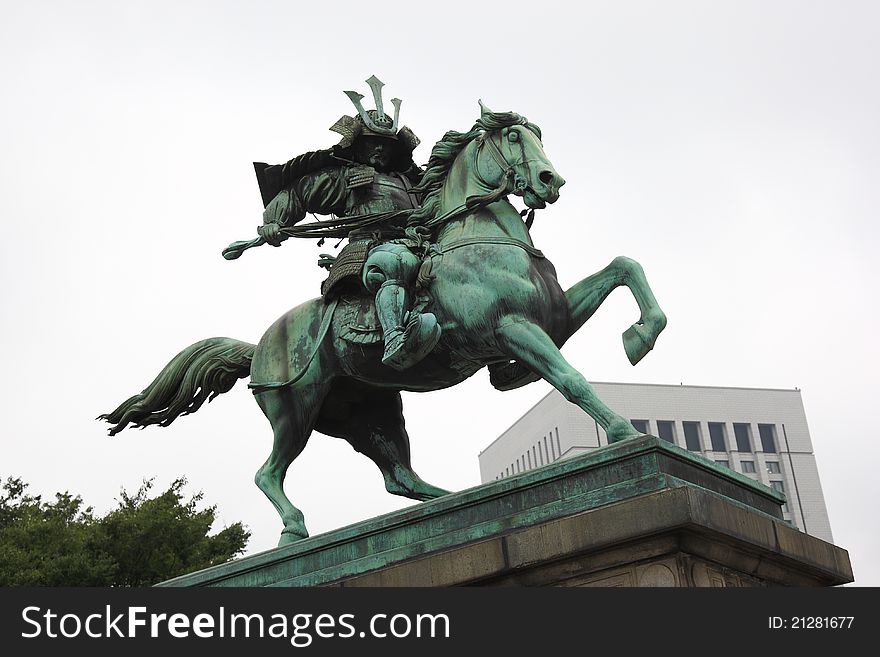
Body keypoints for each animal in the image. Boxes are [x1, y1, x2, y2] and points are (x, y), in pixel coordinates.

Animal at [101, 102, 668, 544]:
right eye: (512, 136)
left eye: (537, 135)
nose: (551, 181)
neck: (479, 237)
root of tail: (257, 346)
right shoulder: (512, 329)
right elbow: (571, 379)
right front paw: (622, 429)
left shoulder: (554, 318)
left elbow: (625, 267)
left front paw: (640, 337)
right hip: (294, 409)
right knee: (268, 473)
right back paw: (296, 527)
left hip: (369, 410)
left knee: (399, 476)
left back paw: (453, 500)